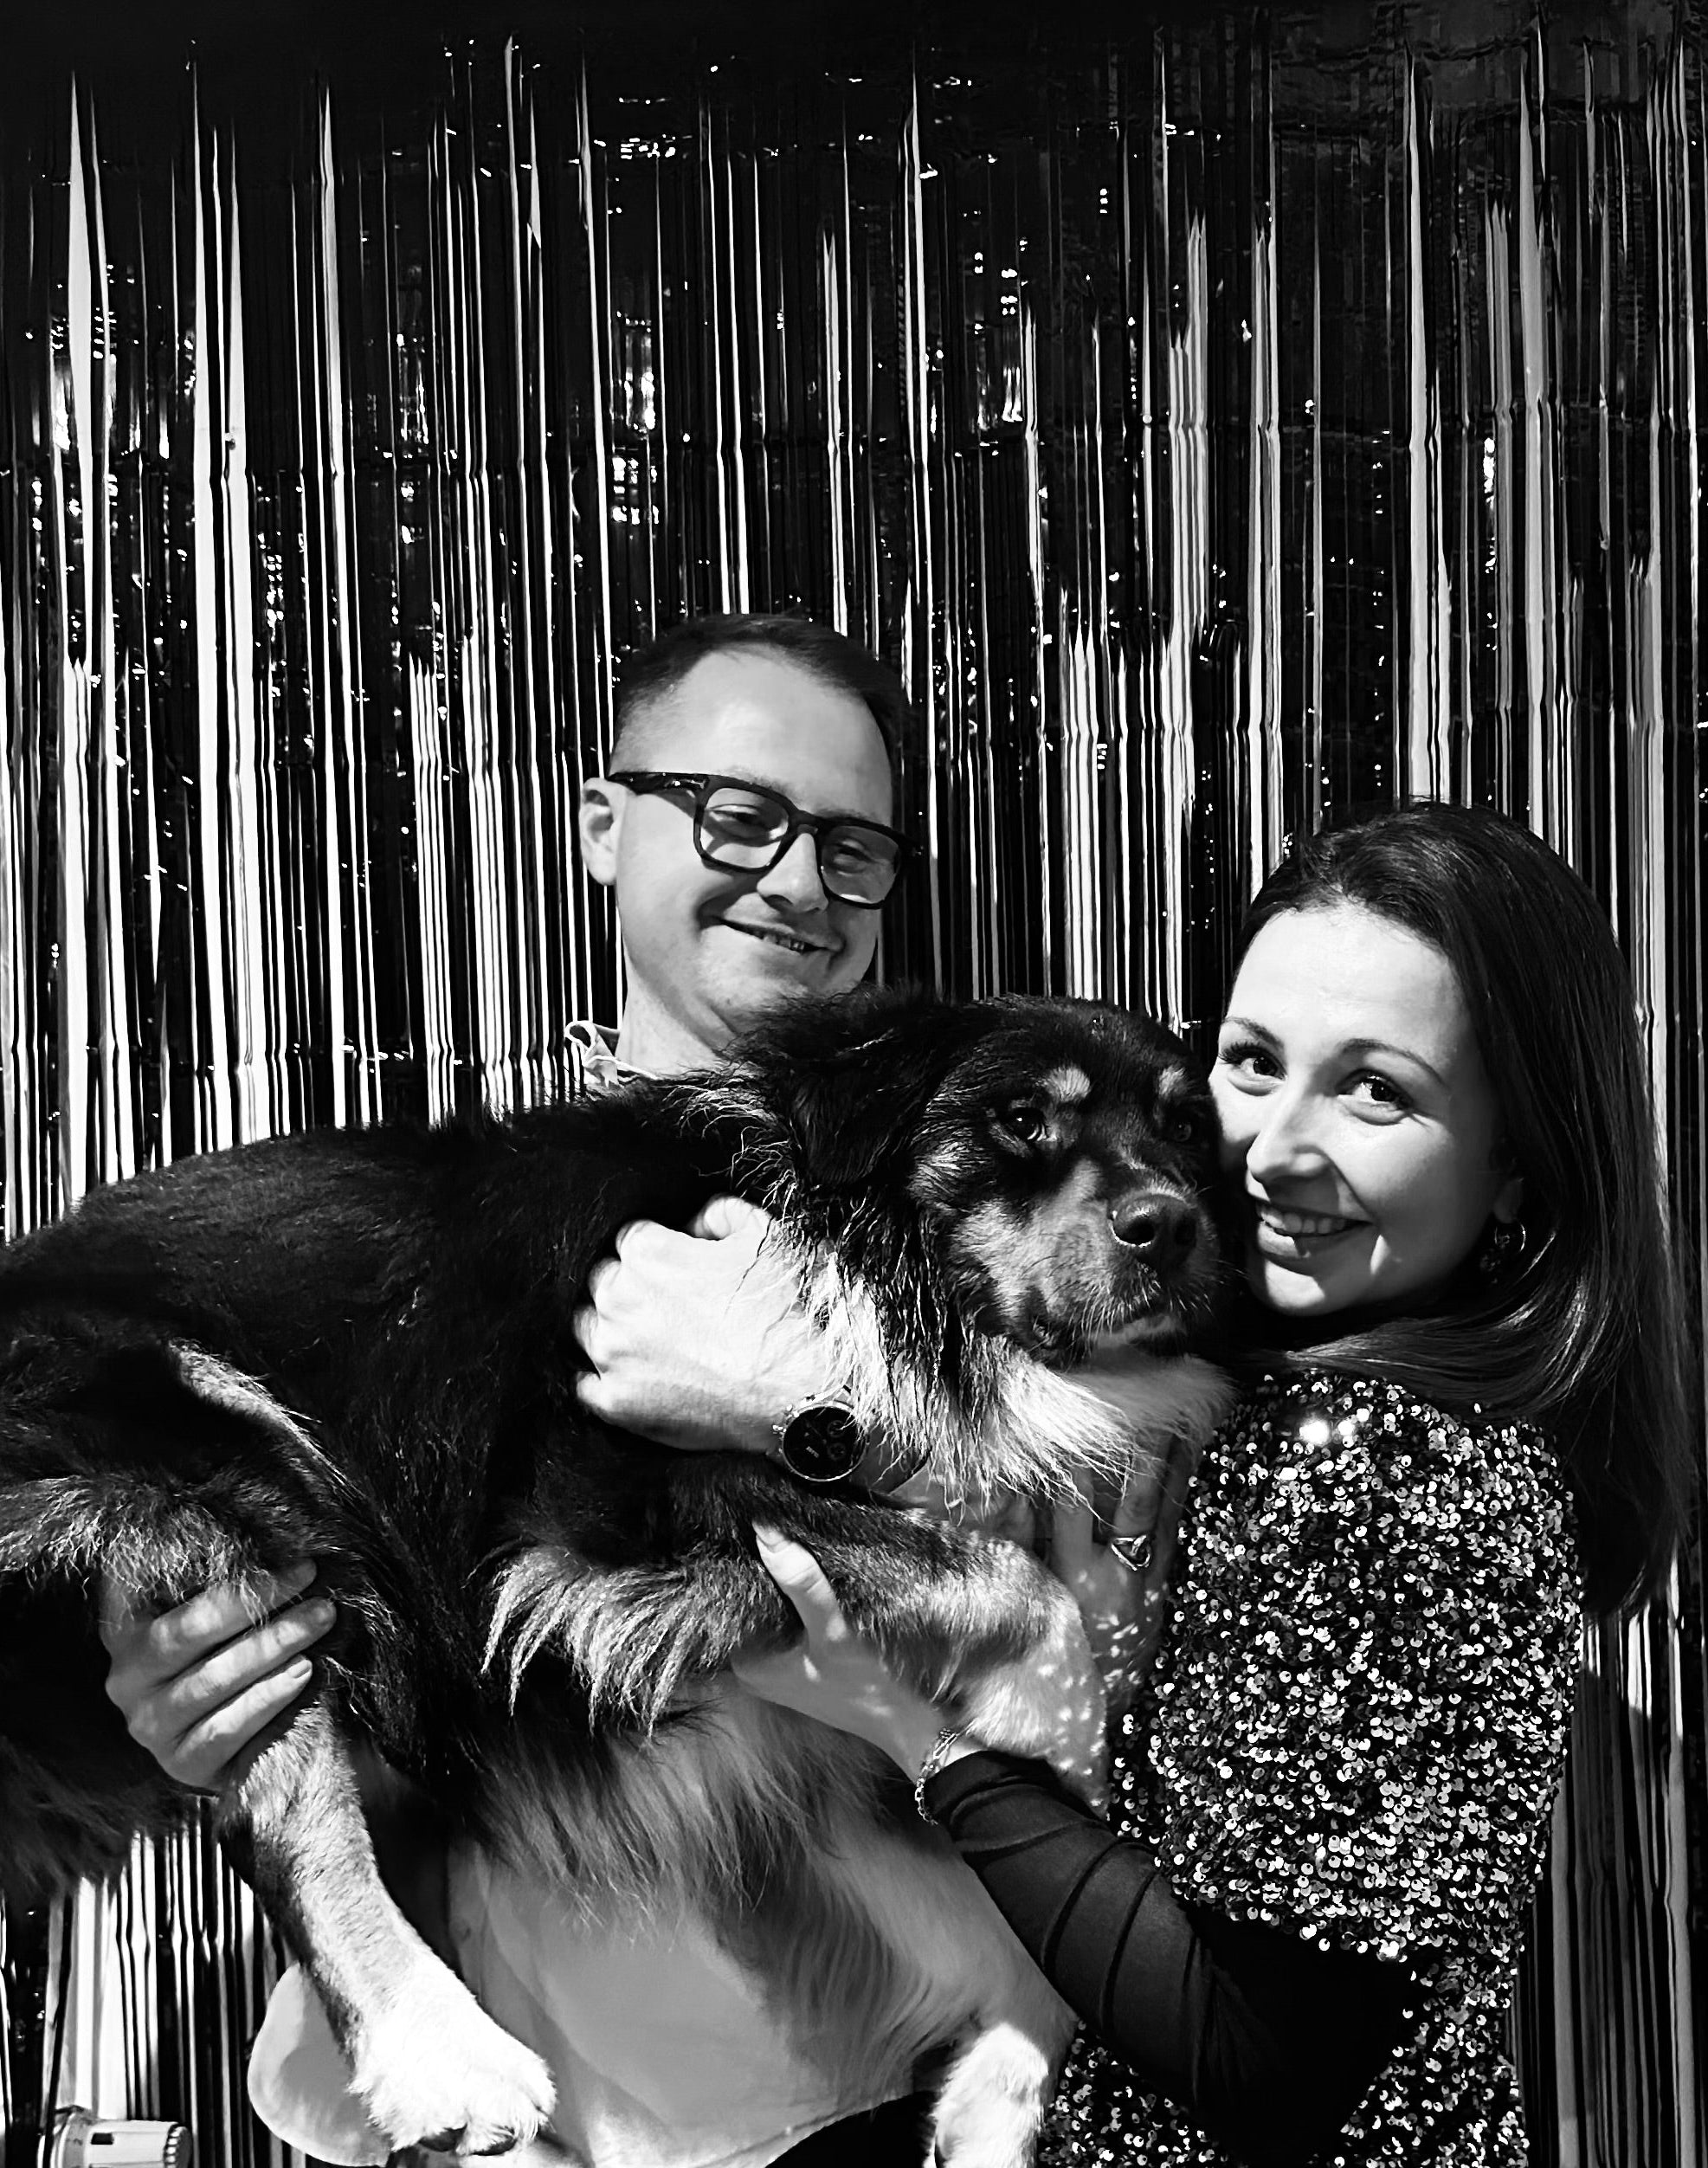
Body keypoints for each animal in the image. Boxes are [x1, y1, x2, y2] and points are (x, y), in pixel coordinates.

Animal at [0, 989, 1231, 2167]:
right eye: (1023, 1117)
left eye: (1185, 1123)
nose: (1171, 1224)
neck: (877, 1263)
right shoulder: (593, 1515)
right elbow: (1014, 1580)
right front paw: (1055, 1730)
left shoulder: (815, 1752)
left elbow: (1023, 1923)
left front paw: (994, 2098)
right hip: (226, 1444)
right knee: (283, 1806)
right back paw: (440, 2058)